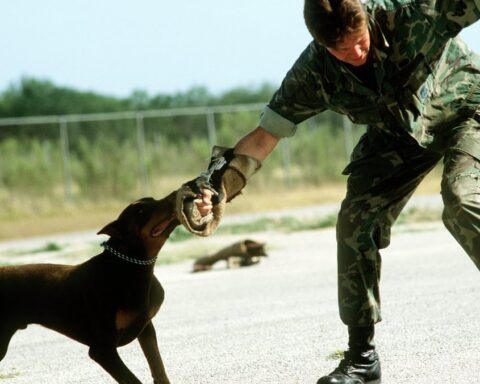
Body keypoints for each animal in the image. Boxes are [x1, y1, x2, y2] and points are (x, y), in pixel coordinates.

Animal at [0, 192, 179, 384]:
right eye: (140, 211)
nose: (175, 194)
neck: (129, 267)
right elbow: (132, 379)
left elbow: (158, 367)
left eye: (152, 200)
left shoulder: (145, 328)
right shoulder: (103, 350)